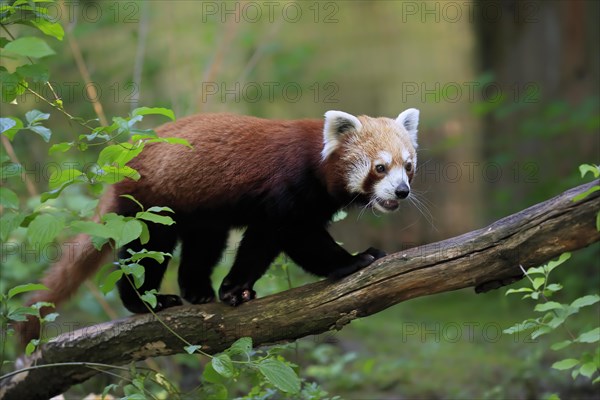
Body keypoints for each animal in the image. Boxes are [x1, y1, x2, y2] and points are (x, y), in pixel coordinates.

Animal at [19, 108, 422, 344]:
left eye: (408, 166)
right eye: (380, 167)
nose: (401, 192)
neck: (316, 161)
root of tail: (123, 160)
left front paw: (233, 289)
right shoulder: (286, 192)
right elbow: (291, 239)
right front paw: (354, 259)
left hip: (200, 210)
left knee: (203, 245)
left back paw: (197, 291)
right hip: (151, 204)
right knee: (146, 251)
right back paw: (146, 301)